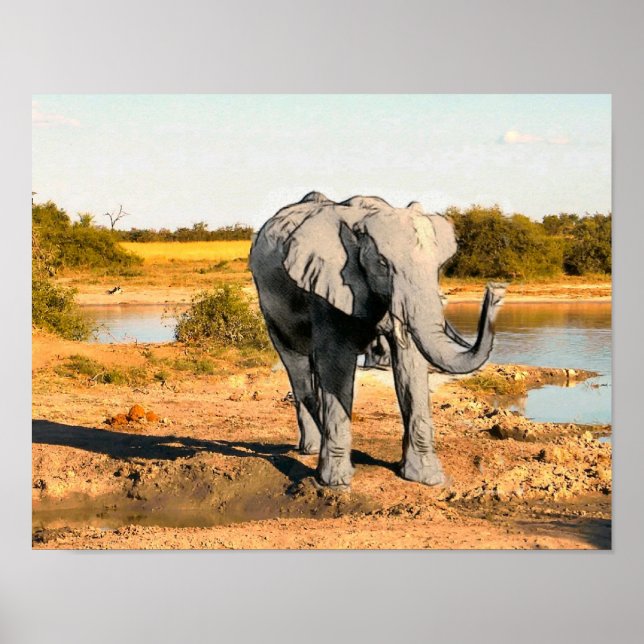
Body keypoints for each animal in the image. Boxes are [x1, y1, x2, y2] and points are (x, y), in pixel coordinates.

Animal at [249, 192, 506, 489]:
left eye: (439, 268)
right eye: (383, 265)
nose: (495, 292)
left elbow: (410, 367)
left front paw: (427, 478)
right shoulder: (326, 285)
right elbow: (336, 367)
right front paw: (336, 483)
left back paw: (314, 448)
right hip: (269, 307)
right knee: (296, 366)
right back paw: (313, 449)